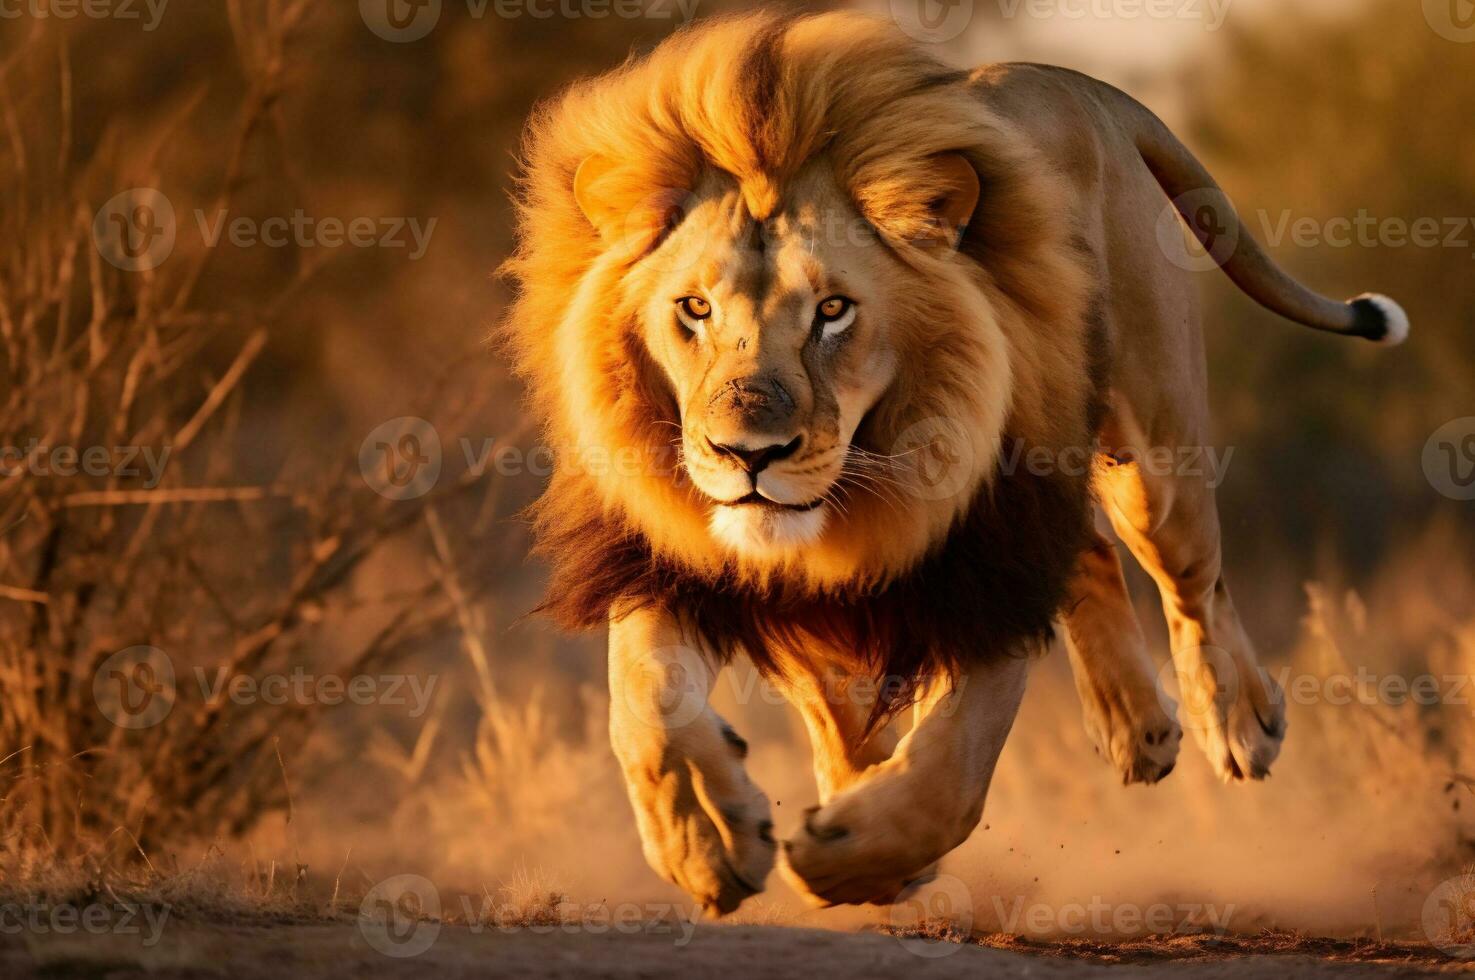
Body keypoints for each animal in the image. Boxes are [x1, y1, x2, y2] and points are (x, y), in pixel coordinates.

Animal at [501, 9, 1410, 920]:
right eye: (692, 308)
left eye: (833, 311)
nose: (747, 454)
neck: (853, 504)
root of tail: (1069, 79)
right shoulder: (683, 561)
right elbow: (650, 699)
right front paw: (707, 836)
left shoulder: (985, 568)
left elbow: (954, 765)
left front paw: (853, 857)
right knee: (1087, 553)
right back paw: (1134, 727)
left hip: (1151, 459)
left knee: (1194, 584)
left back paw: (1239, 722)